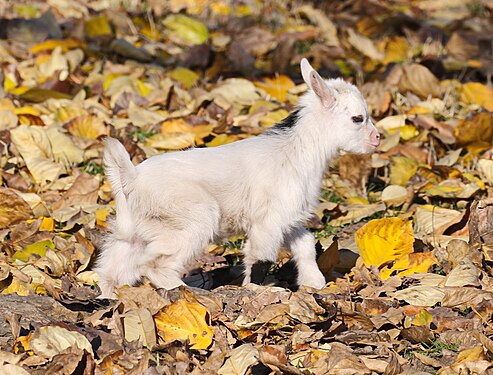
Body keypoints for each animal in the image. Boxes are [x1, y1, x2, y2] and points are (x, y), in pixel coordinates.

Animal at [96, 59, 380, 300]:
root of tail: (131, 178)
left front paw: (315, 283)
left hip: (133, 235)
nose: (377, 138)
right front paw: (258, 290)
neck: (296, 149)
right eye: (357, 118)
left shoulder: (288, 218)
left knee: (112, 270)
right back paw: (191, 294)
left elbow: (306, 246)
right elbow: (260, 258)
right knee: (155, 265)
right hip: (193, 217)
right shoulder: (268, 221)